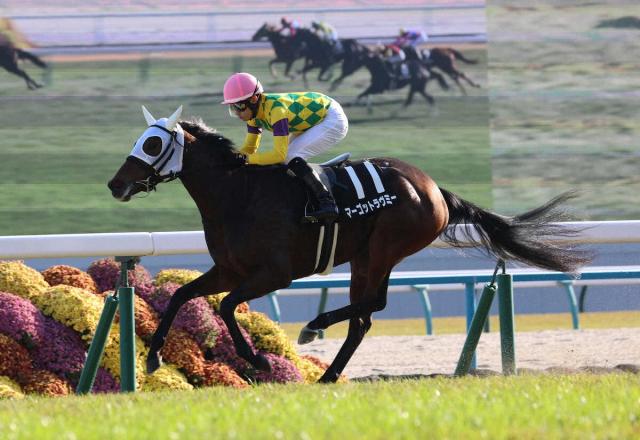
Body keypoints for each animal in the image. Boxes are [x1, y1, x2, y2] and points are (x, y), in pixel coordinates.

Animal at [108, 105, 591, 382]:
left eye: (152, 143)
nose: (115, 184)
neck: (237, 196)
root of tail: (434, 188)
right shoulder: (229, 270)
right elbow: (181, 296)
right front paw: (153, 358)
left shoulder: (275, 274)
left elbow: (226, 307)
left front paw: (257, 361)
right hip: (366, 257)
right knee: (364, 317)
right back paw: (328, 373)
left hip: (382, 250)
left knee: (371, 307)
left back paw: (314, 326)